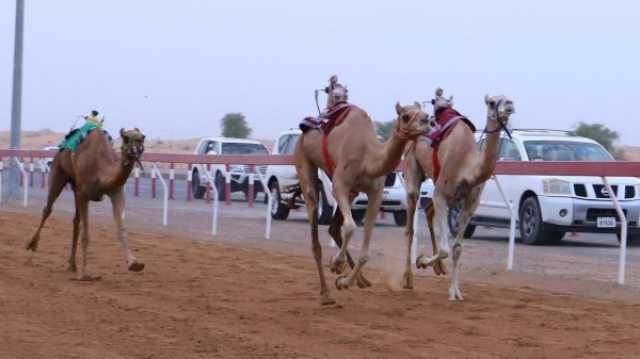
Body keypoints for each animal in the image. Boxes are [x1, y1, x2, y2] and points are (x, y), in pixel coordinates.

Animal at [26, 126, 146, 282]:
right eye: (126, 138)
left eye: (143, 137)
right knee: (47, 209)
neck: (101, 170)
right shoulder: (84, 195)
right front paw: (85, 274)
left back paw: (72, 265)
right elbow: (86, 235)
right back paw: (31, 244)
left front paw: (134, 263)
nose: (139, 145)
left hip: (75, 186)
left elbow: (121, 230)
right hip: (59, 172)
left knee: (76, 220)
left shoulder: (116, 192)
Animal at [296, 76, 430, 306]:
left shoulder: (374, 194)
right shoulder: (339, 184)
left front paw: (343, 280)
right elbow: (350, 227)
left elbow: (366, 252)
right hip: (304, 161)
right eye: (405, 116)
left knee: (333, 228)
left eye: (422, 112)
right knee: (315, 229)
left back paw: (360, 280)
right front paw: (336, 264)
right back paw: (326, 294)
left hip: (351, 192)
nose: (427, 121)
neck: (369, 158)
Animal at [400, 93, 516, 300]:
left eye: (509, 99)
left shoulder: (470, 203)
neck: (468, 167)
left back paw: (439, 268)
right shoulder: (441, 194)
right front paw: (421, 260)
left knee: (428, 211)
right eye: (492, 103)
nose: (509, 107)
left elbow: (457, 248)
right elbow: (445, 249)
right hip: (412, 167)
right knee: (410, 228)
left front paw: (455, 292)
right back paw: (408, 279)